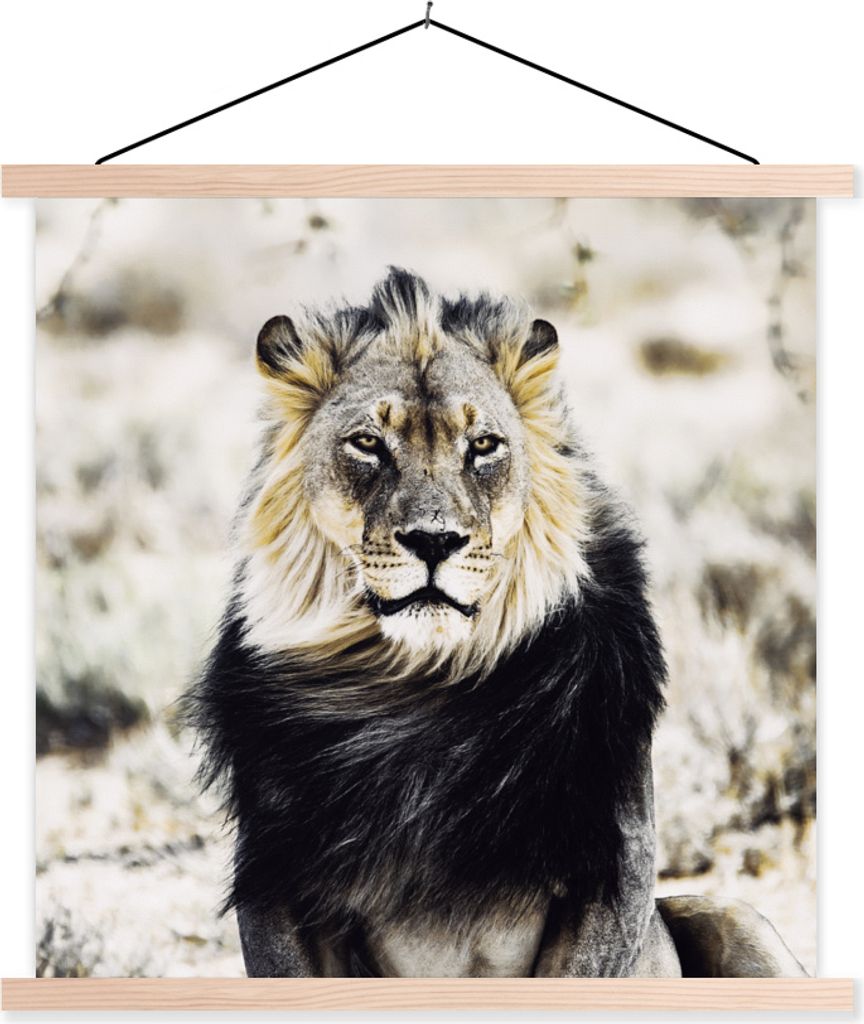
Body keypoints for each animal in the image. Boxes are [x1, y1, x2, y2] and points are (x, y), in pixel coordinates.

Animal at [183, 267, 807, 978]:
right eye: (368, 443)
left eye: (482, 446)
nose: (434, 540)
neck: (419, 682)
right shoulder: (275, 883)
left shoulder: (614, 867)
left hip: (734, 913)